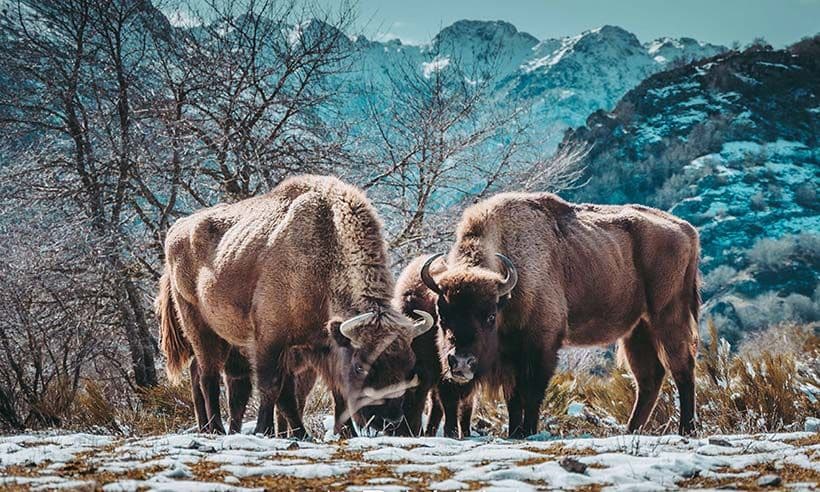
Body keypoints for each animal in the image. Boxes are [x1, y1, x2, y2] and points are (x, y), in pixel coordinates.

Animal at [156, 175, 432, 436]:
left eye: (409, 366)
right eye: (360, 366)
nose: (391, 421)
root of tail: (176, 229)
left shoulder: (318, 346)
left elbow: (323, 392)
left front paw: (319, 433)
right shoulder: (271, 339)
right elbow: (272, 387)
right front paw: (265, 430)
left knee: (219, 378)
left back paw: (217, 428)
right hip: (198, 326)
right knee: (208, 377)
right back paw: (215, 428)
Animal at [422, 193, 700, 438]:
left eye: (489, 316)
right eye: (442, 315)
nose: (460, 363)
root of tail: (686, 230)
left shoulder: (541, 346)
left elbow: (531, 394)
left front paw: (528, 431)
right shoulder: (510, 358)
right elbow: (513, 399)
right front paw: (514, 432)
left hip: (667, 318)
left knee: (683, 370)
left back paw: (687, 430)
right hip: (637, 330)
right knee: (648, 379)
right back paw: (631, 430)